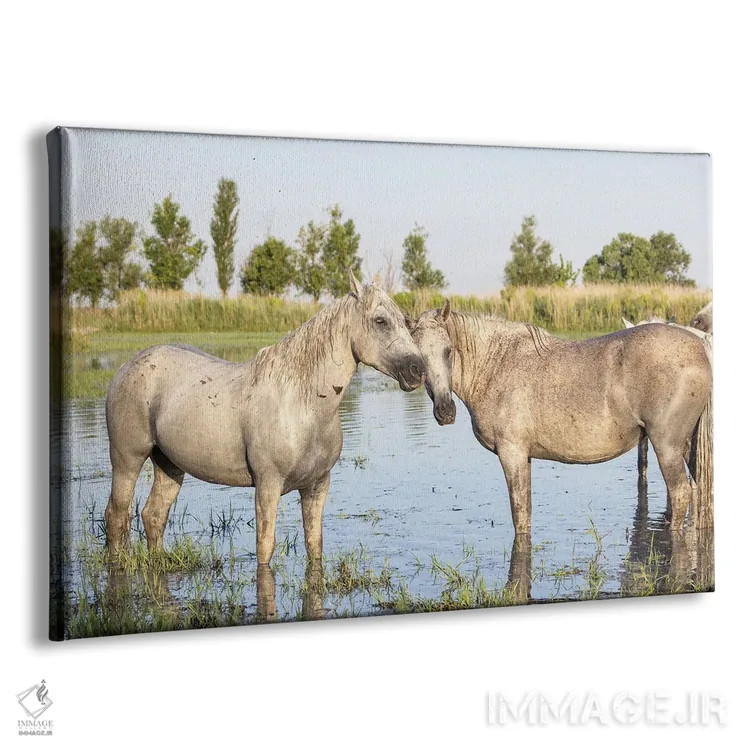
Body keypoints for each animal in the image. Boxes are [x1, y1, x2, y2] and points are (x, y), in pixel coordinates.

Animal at [105, 273, 426, 571]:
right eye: (380, 321)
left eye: (405, 321)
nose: (418, 370)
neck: (303, 405)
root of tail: (126, 367)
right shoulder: (268, 486)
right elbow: (265, 547)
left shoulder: (317, 485)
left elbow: (314, 545)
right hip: (127, 460)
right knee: (117, 515)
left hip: (169, 465)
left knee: (153, 516)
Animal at [409, 300, 712, 538]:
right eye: (418, 359)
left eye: (448, 350)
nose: (445, 411)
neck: (497, 364)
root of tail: (699, 347)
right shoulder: (524, 457)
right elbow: (525, 511)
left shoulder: (512, 453)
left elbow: (519, 513)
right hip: (686, 446)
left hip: (666, 446)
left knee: (681, 493)